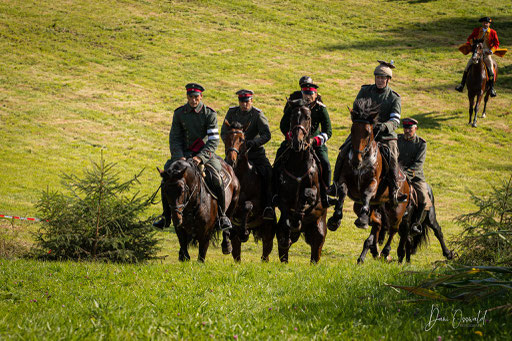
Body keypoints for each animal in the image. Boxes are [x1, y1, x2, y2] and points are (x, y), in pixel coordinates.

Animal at [224, 121, 276, 262]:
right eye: (226, 138)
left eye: (242, 139)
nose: (231, 161)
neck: (242, 176)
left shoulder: (257, 204)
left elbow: (247, 205)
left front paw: (244, 232)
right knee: (237, 255)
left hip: (268, 233)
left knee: (265, 254)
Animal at [276, 98, 328, 262]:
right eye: (292, 117)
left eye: (308, 117)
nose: (297, 143)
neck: (298, 162)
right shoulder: (283, 198)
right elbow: (287, 209)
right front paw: (293, 222)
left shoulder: (314, 194)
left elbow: (308, 195)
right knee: (284, 246)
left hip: (319, 232)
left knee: (315, 254)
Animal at [328, 98, 412, 262]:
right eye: (352, 130)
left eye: (367, 133)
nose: (356, 160)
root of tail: (408, 184)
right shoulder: (344, 180)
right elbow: (342, 191)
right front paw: (335, 218)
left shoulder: (372, 182)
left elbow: (367, 193)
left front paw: (361, 220)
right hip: (365, 206)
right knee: (378, 223)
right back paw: (372, 248)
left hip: (397, 209)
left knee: (393, 229)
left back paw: (385, 251)